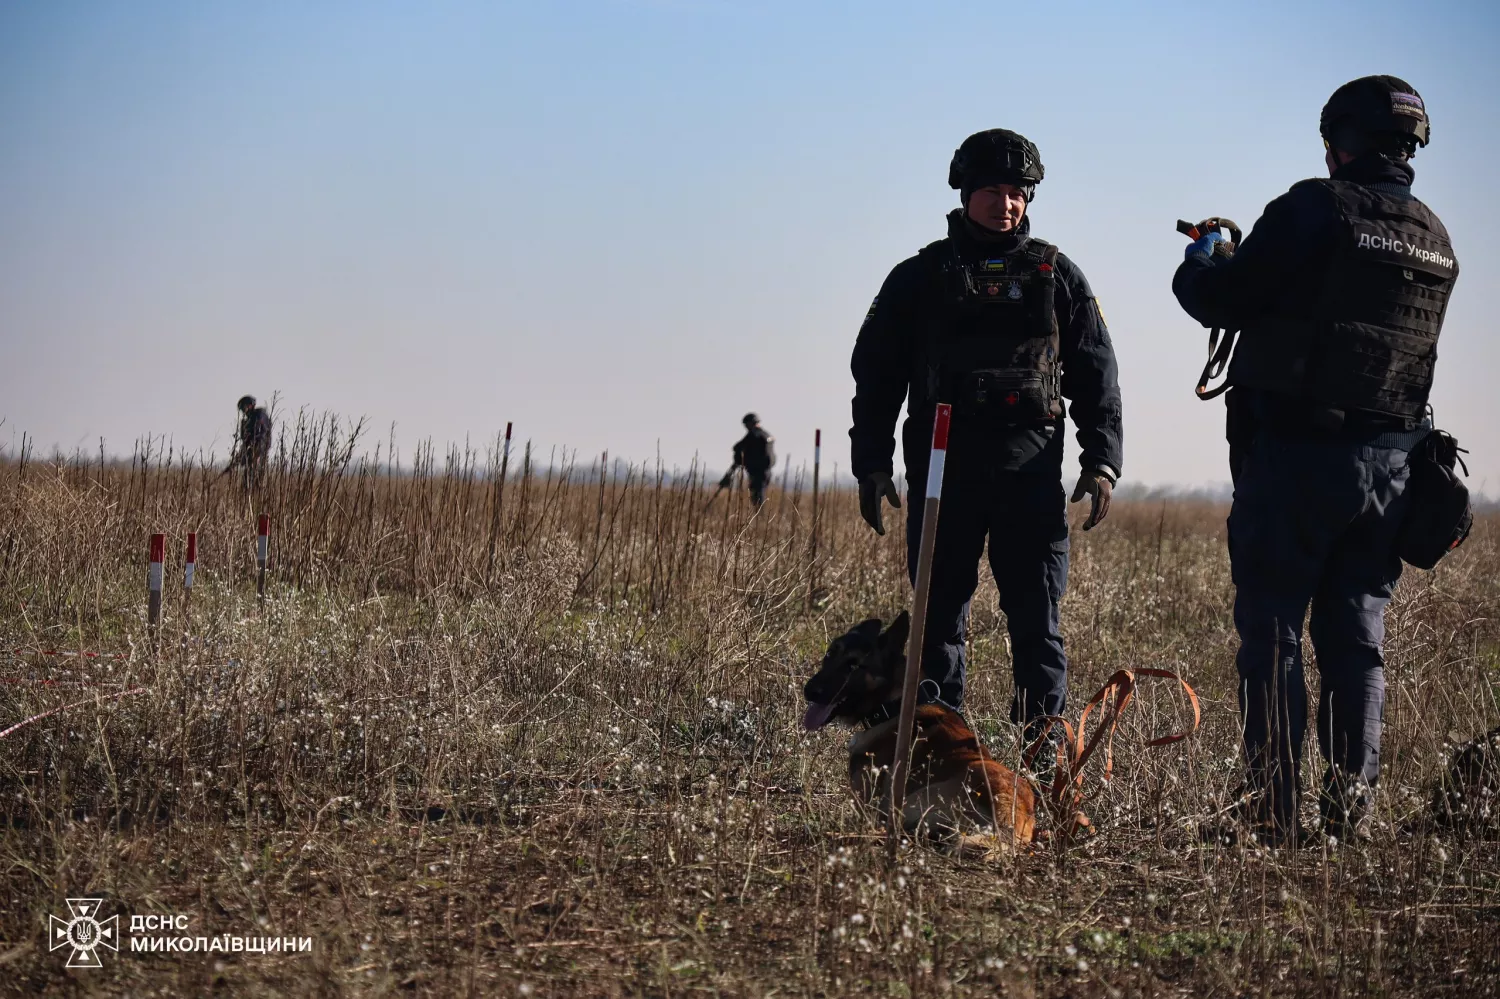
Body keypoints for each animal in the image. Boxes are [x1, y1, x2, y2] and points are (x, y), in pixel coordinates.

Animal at [804, 612, 1038, 852]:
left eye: (853, 665)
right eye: (829, 654)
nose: (808, 691)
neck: (892, 705)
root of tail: (1011, 820)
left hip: (911, 801)